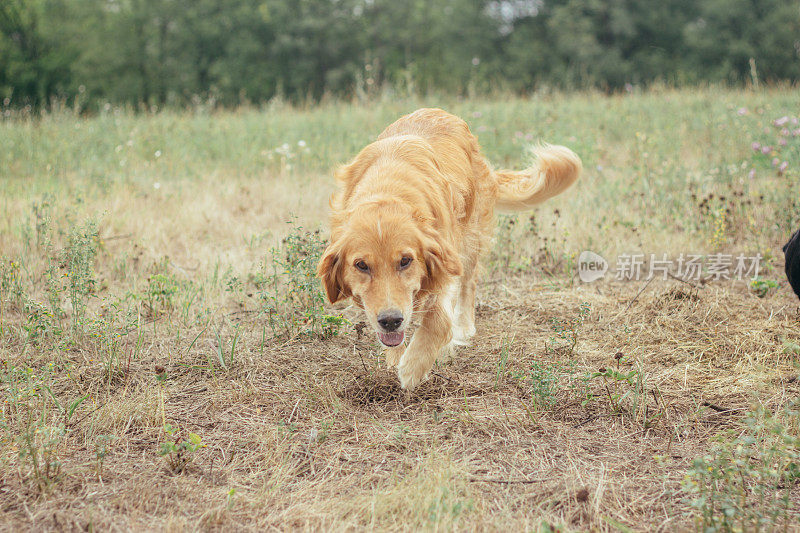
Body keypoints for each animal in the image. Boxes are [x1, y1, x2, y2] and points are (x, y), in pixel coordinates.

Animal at [316, 109, 580, 390]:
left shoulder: (445, 259)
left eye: (406, 260)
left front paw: (413, 367)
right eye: (361, 265)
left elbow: (439, 321)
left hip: (470, 237)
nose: (390, 320)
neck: (387, 190)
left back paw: (463, 327)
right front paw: (395, 360)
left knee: (468, 283)